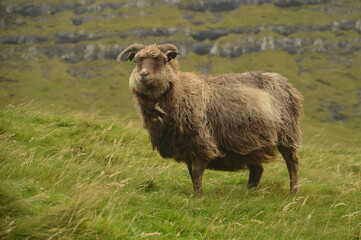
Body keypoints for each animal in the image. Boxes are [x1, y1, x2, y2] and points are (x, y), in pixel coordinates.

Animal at [117, 43, 300, 197]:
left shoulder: (200, 142)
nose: (143, 75)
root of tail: (285, 82)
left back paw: (293, 192)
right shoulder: (185, 147)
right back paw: (248, 193)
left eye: (162, 61)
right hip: (251, 142)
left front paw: (198, 198)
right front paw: (195, 195)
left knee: (292, 163)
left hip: (287, 133)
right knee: (257, 169)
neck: (178, 93)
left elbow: (197, 174)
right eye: (137, 61)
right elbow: (192, 174)